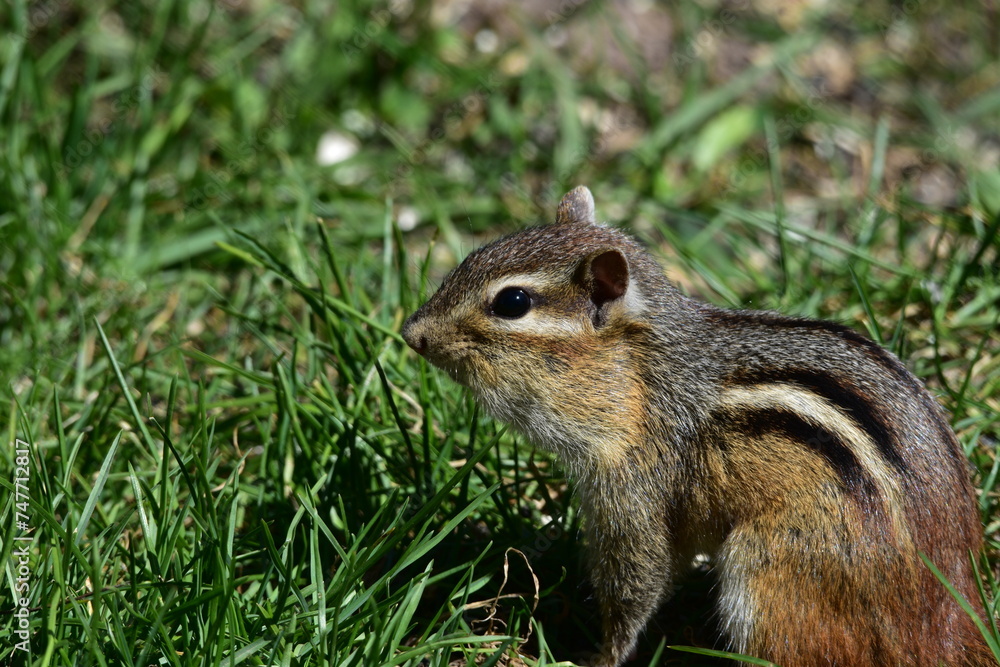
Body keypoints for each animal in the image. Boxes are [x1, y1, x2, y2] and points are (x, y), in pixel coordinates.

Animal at [401, 186, 991, 666]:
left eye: (513, 301)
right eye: (472, 257)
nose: (411, 333)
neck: (643, 378)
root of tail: (949, 617)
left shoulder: (635, 488)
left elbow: (637, 580)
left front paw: (591, 657)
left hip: (771, 575)